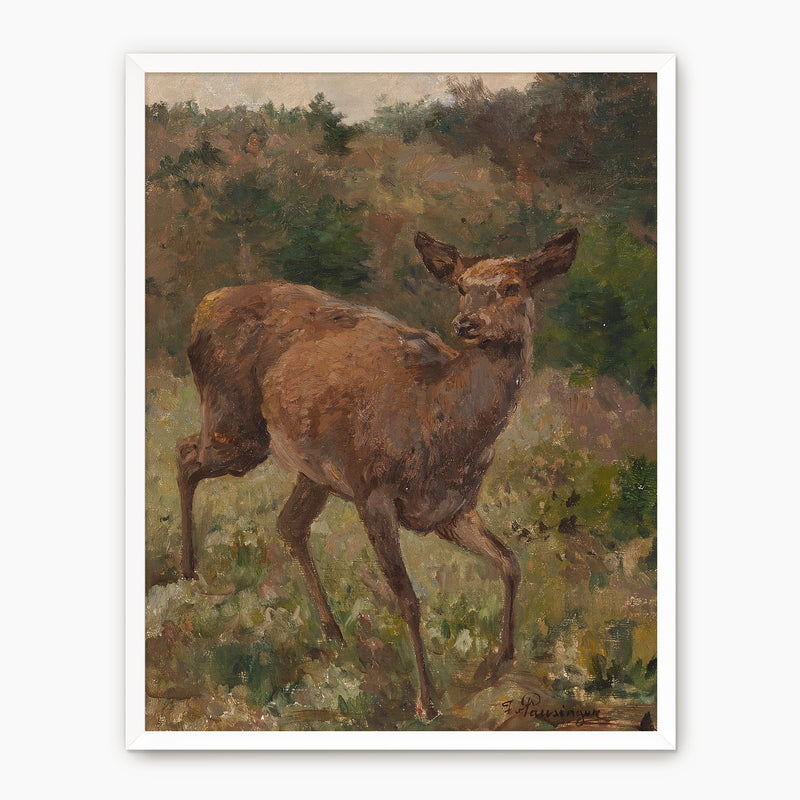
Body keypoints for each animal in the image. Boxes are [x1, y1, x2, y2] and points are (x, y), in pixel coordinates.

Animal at [175, 228, 579, 720]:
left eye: (512, 286)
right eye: (461, 287)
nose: (467, 323)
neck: (445, 424)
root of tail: (205, 303)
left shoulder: (453, 511)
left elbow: (510, 562)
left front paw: (503, 660)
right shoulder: (374, 492)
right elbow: (408, 599)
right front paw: (426, 702)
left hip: (314, 468)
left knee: (288, 524)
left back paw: (332, 632)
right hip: (236, 427)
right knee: (184, 455)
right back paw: (188, 572)